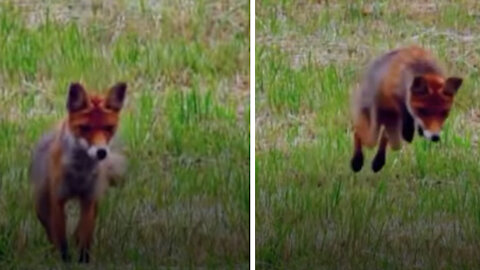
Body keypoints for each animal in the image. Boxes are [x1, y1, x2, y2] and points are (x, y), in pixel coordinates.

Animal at [29, 81, 127, 262]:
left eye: (108, 128)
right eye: (85, 128)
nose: (101, 152)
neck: (79, 173)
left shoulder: (88, 199)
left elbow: (84, 238)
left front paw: (83, 260)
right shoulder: (58, 200)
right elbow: (61, 241)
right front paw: (64, 261)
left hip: (95, 202)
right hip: (41, 204)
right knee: (50, 232)